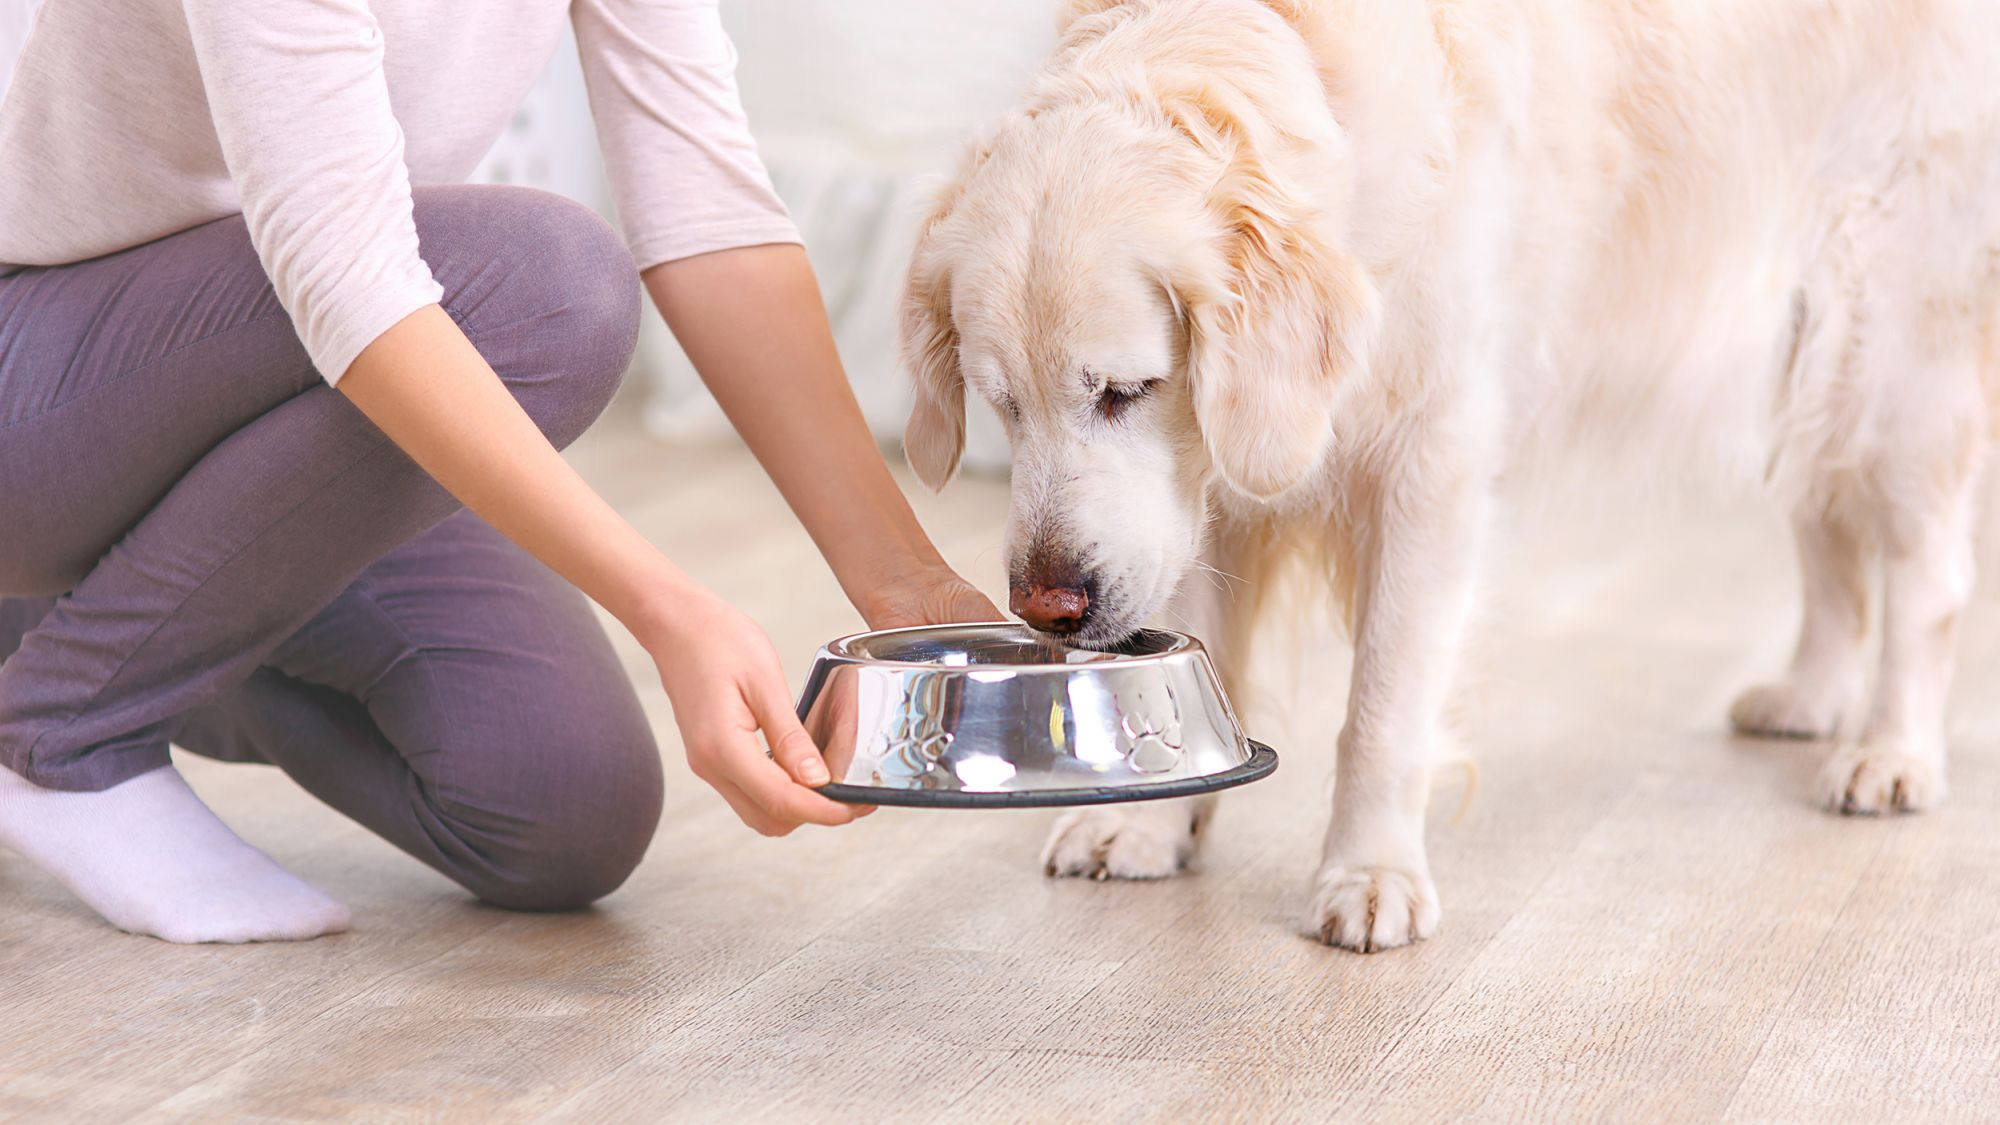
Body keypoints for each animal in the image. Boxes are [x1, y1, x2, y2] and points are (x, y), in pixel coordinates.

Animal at [896, 0, 2000, 944]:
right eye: (1000, 403)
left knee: (1926, 575)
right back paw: (1807, 696)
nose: (1047, 606)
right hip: (1800, 361)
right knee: (1829, 537)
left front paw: (1369, 874)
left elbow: (1384, 706)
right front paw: (1149, 825)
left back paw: (1892, 753)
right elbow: (1194, 646)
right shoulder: (1202, 492)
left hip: (1891, 356)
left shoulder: (1428, 462)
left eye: (1128, 389)